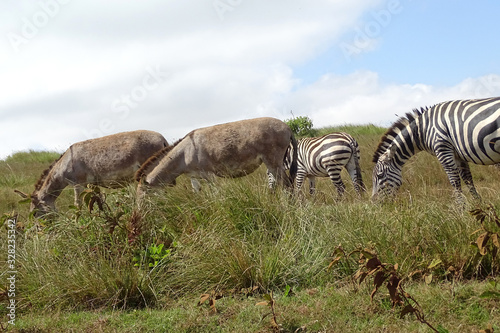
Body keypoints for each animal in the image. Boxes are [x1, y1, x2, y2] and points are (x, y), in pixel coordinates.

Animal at [16, 130, 168, 215]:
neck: (65, 164)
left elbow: (78, 205)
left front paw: (78, 224)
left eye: (34, 212)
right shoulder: (92, 185)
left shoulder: (78, 184)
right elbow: (97, 201)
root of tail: (162, 139)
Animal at [136, 116, 296, 197]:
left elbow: (217, 195)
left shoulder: (209, 175)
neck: (184, 154)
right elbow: (197, 194)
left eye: (143, 197)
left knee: (287, 186)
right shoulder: (194, 177)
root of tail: (287, 127)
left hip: (273, 162)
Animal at [372, 96, 500, 200]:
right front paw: (479, 205)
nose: (375, 203)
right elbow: (468, 180)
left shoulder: (443, 149)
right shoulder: (458, 155)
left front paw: (461, 211)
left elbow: (455, 182)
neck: (421, 131)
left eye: (380, 175)